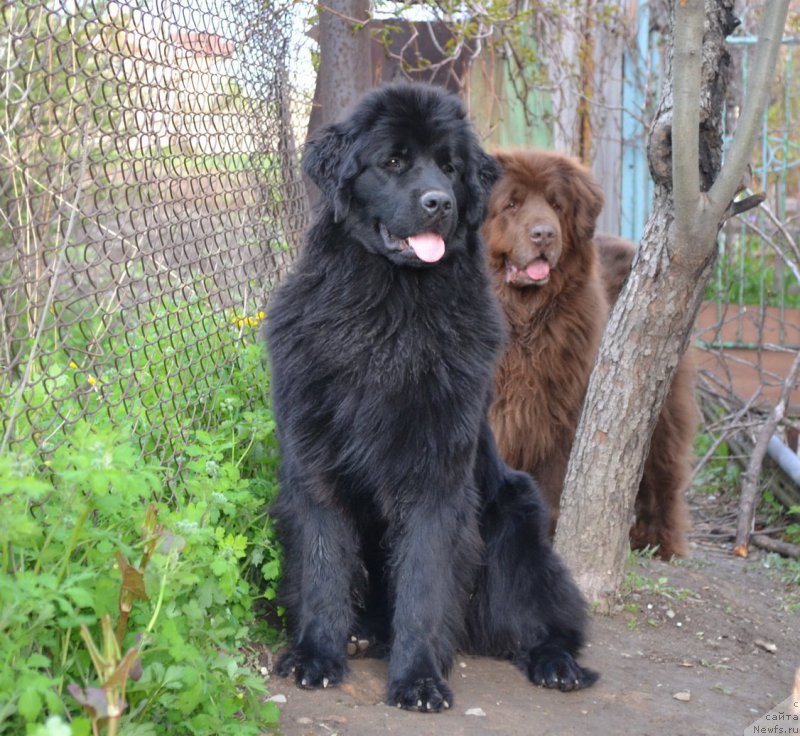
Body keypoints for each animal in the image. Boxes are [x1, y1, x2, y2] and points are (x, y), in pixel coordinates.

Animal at [266, 83, 596, 712]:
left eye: (450, 168)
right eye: (393, 161)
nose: (439, 202)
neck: (389, 313)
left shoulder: (436, 476)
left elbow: (423, 583)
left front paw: (418, 678)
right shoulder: (314, 462)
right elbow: (322, 564)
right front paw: (317, 655)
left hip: (516, 522)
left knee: (549, 616)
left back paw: (556, 663)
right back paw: (363, 632)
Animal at [484, 151, 696, 564]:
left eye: (555, 205)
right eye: (511, 204)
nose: (544, 234)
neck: (520, 321)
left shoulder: (560, 414)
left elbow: (552, 483)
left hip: (659, 402)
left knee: (662, 467)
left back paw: (658, 539)